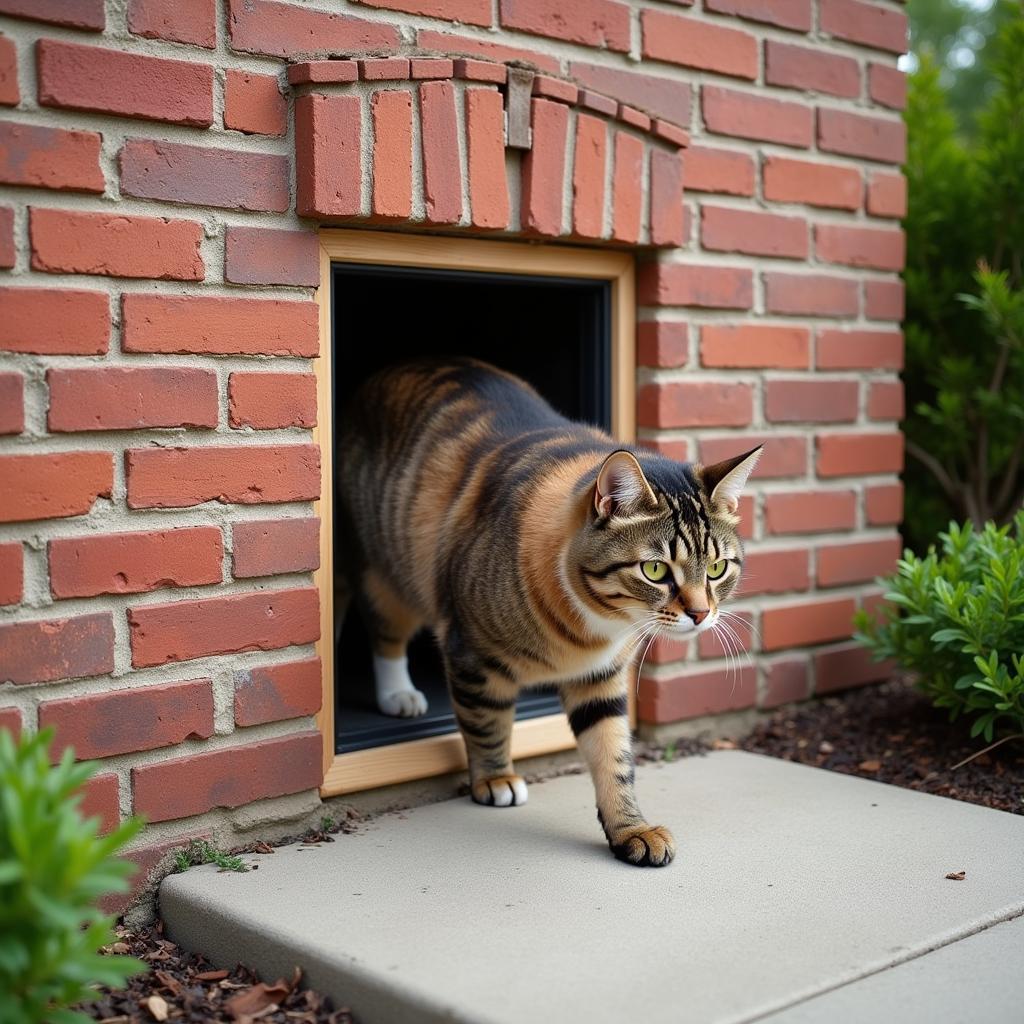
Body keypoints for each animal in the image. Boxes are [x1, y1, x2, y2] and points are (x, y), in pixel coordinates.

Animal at [335, 358, 761, 864]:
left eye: (716, 567)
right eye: (656, 569)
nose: (699, 614)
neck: (599, 625)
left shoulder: (601, 678)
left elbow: (614, 754)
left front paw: (630, 828)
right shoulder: (472, 652)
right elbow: (486, 721)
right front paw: (495, 778)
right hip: (384, 570)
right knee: (385, 630)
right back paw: (399, 694)